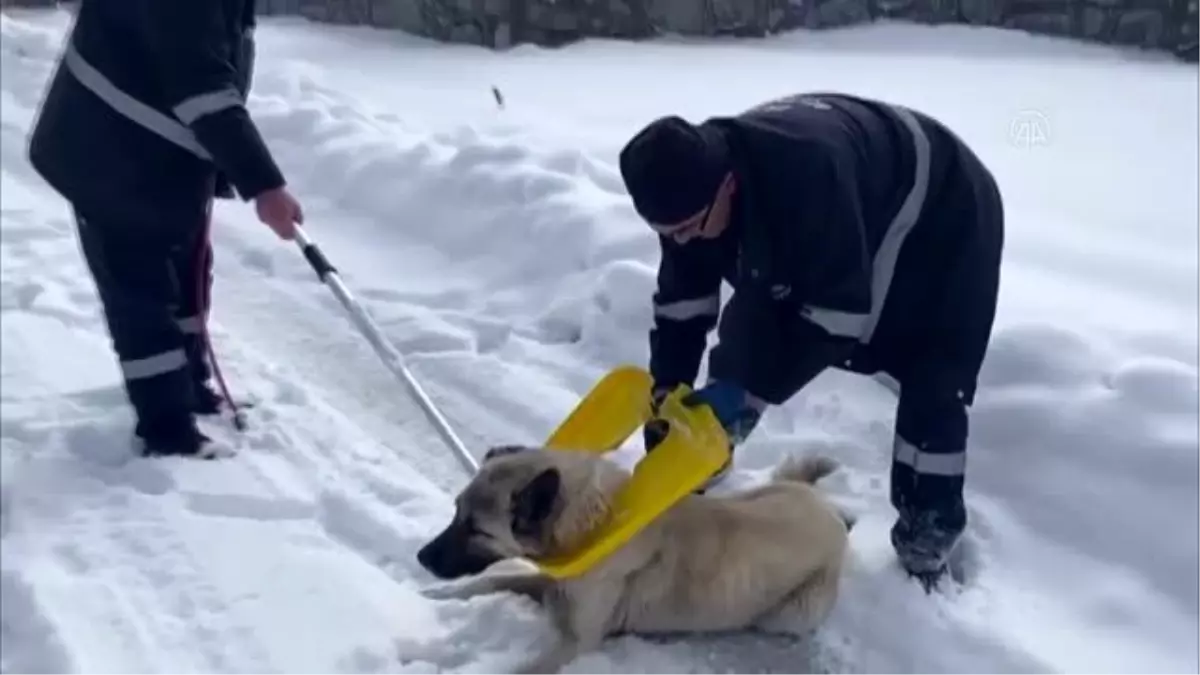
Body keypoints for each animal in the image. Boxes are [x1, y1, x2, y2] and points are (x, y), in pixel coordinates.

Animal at [412, 441, 854, 672]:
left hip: (790, 615)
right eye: (456, 511)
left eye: (476, 530)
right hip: (761, 492)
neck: (592, 525)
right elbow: (492, 579)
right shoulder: (547, 582)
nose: (421, 557)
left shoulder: (578, 640)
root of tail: (826, 510)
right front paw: (436, 597)